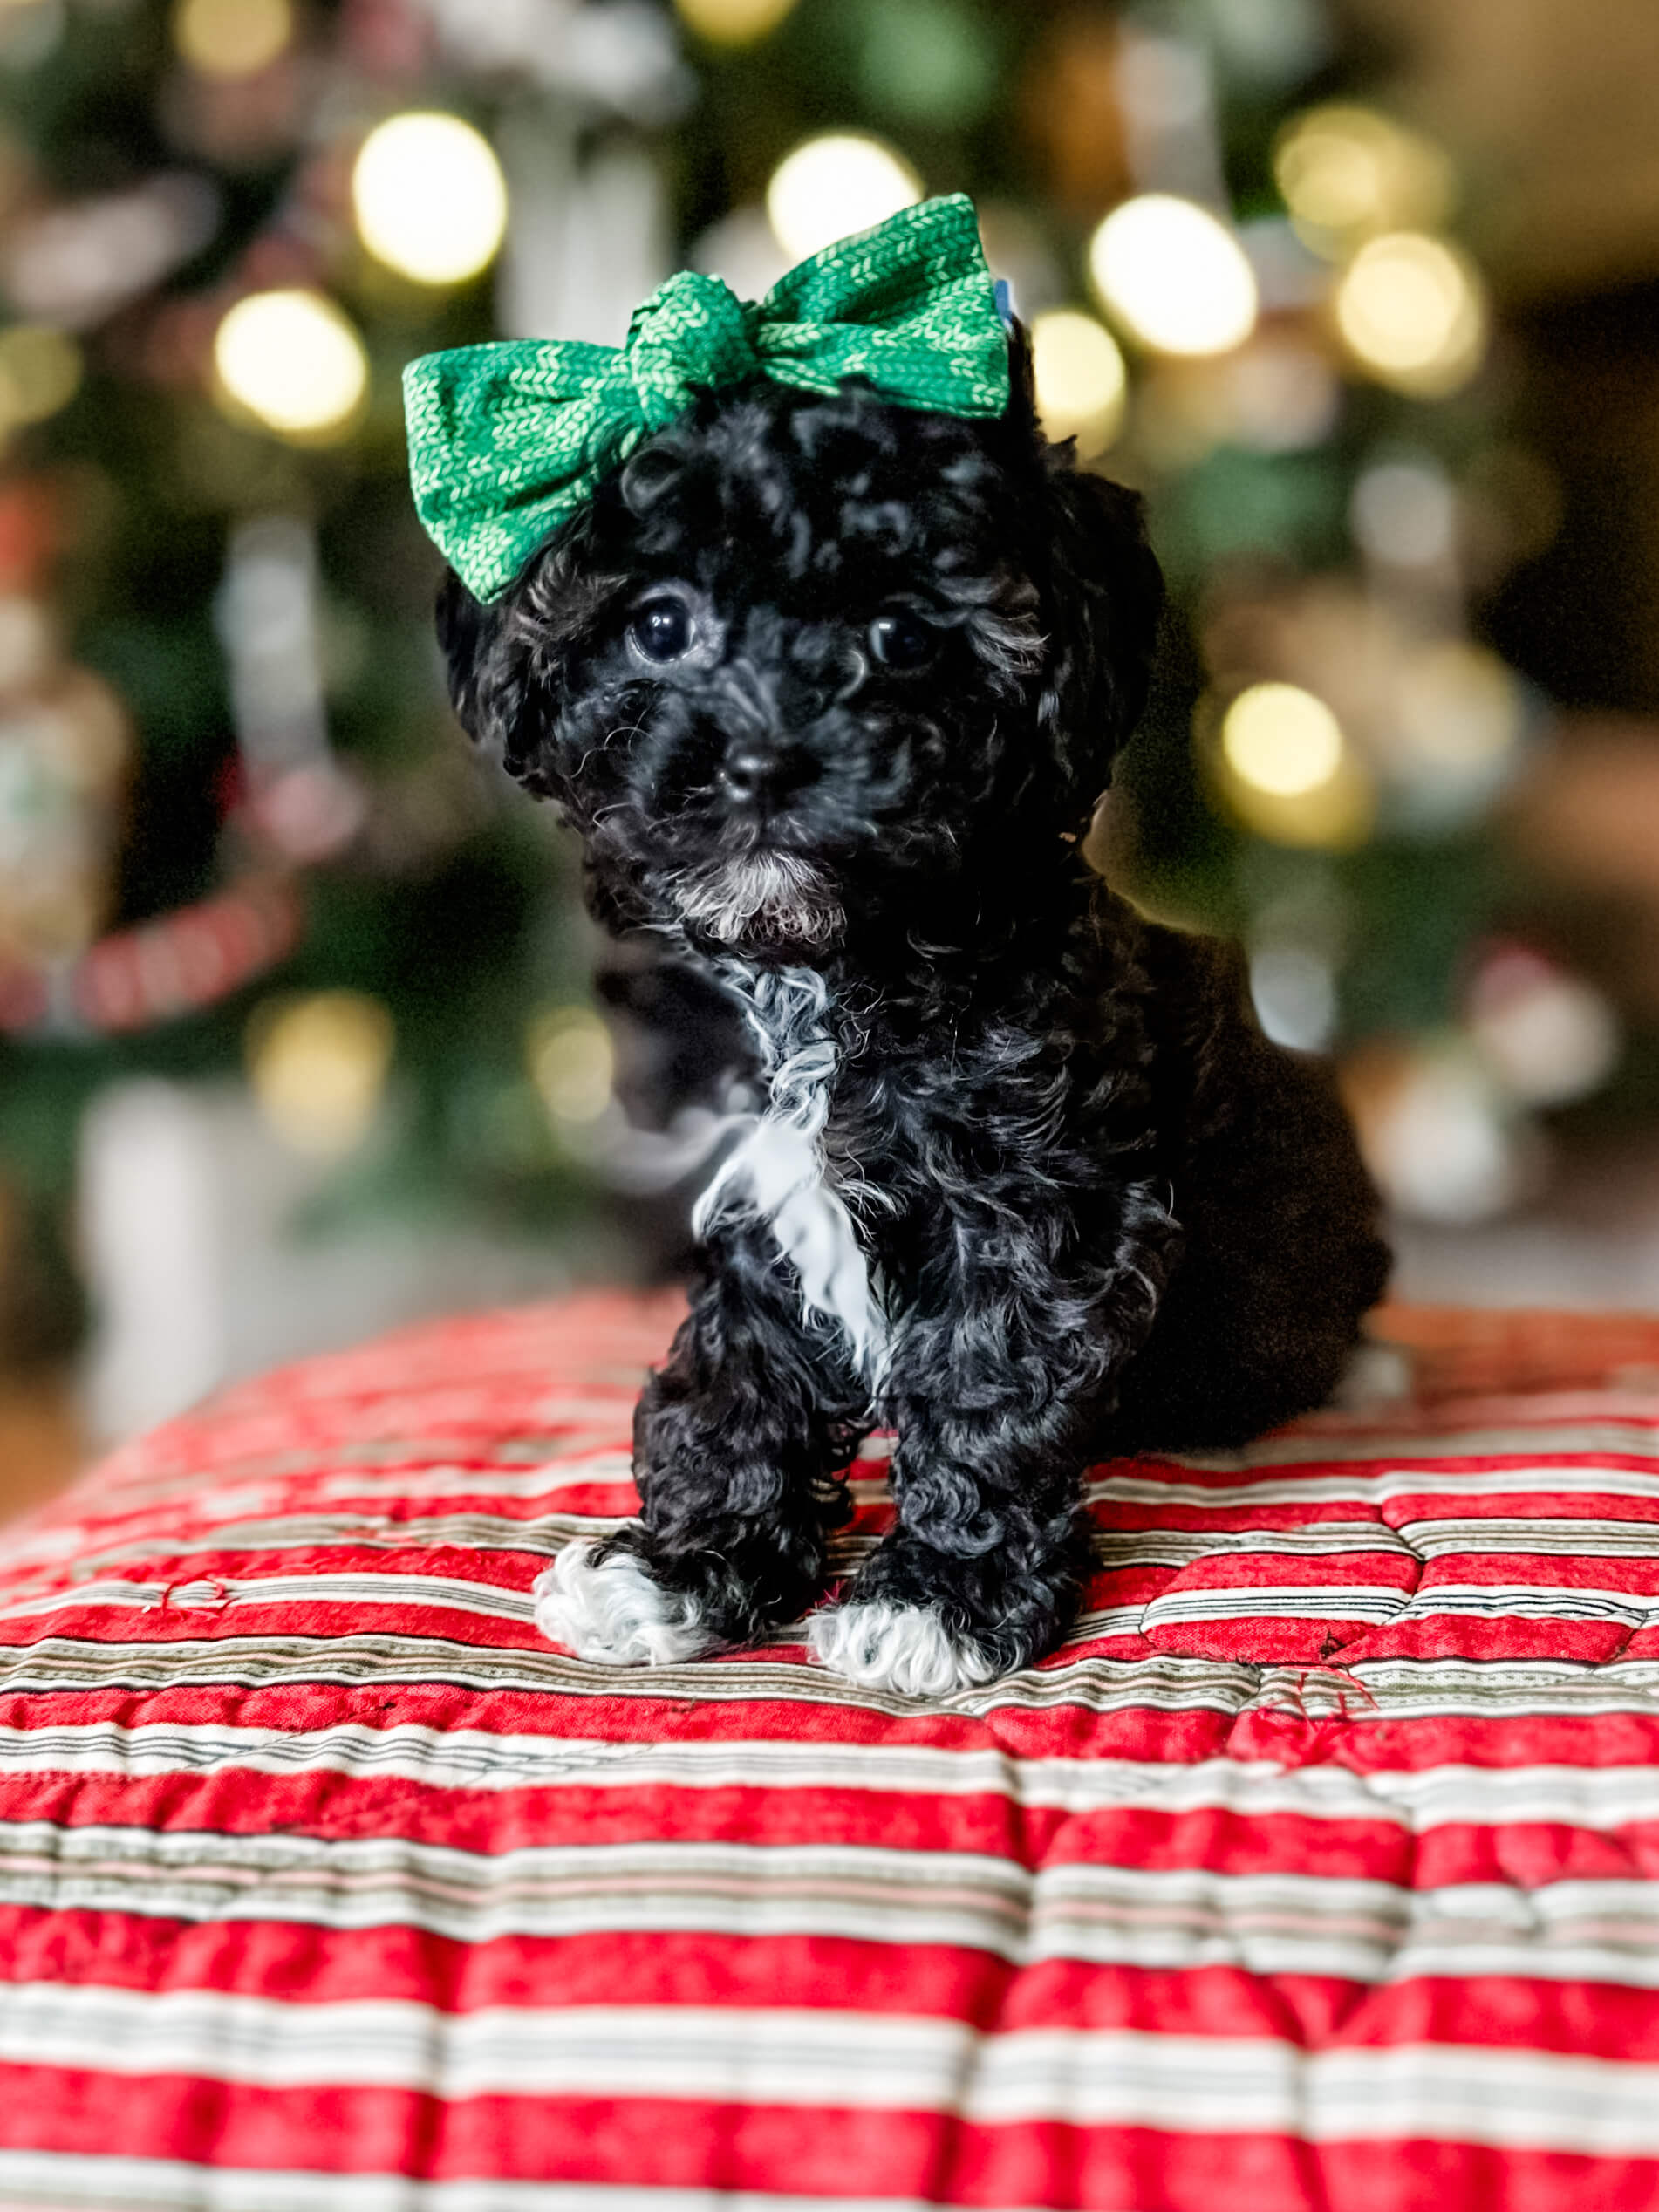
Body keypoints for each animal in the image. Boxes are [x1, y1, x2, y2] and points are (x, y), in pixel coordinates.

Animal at [438, 323, 1389, 1690]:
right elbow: (740, 1378)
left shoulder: (1041, 1205)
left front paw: (939, 1596)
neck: (832, 967)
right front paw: (687, 1568)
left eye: (902, 635)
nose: (762, 762)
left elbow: (984, 1388)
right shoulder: (760, 1199)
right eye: (659, 623)